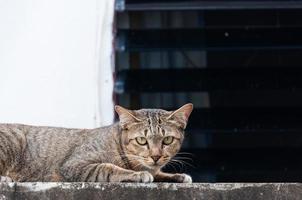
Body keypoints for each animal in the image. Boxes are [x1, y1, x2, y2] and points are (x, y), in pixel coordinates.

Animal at [0, 104, 193, 182]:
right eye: (142, 140)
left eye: (167, 140)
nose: (155, 156)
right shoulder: (75, 165)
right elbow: (107, 168)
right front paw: (137, 174)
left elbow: (159, 173)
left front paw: (176, 176)